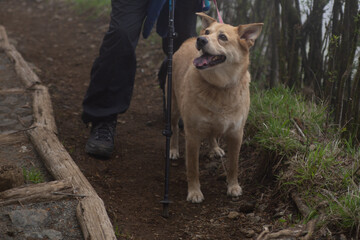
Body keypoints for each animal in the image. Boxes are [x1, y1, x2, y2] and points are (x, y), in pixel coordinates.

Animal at [170, 11, 262, 202]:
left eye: (222, 37)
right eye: (207, 31)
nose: (201, 39)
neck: (220, 87)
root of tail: (189, 39)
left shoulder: (236, 134)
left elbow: (234, 165)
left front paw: (233, 186)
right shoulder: (192, 135)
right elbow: (193, 168)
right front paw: (194, 191)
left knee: (212, 133)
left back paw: (215, 148)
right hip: (174, 107)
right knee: (174, 127)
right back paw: (173, 149)